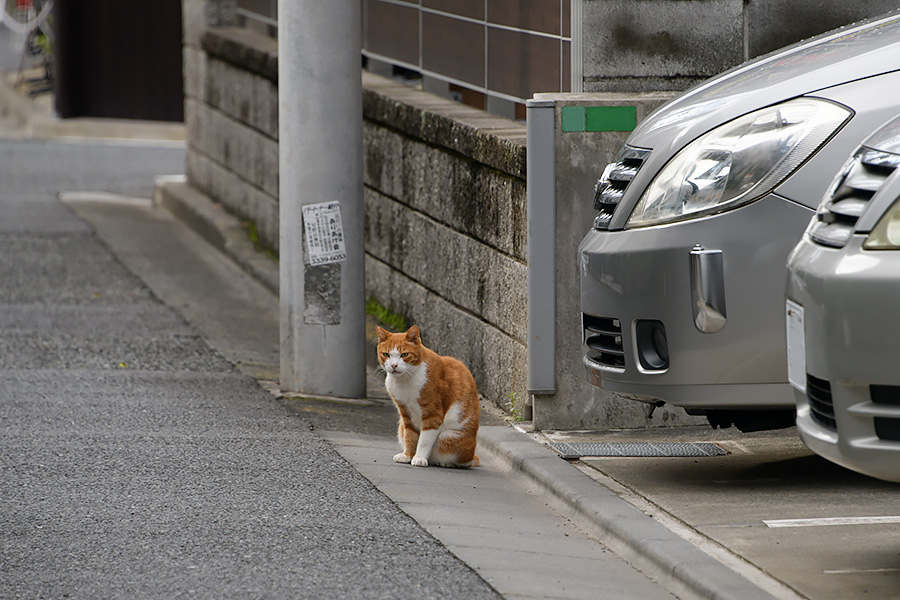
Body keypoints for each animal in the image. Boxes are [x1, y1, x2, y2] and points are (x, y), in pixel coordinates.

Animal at [376, 326, 482, 466]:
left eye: (404, 355)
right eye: (386, 354)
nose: (394, 365)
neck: (406, 380)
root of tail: (472, 455)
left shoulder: (433, 414)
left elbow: (424, 440)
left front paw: (419, 457)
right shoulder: (405, 413)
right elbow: (410, 436)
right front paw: (408, 455)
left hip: (449, 437)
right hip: (401, 427)